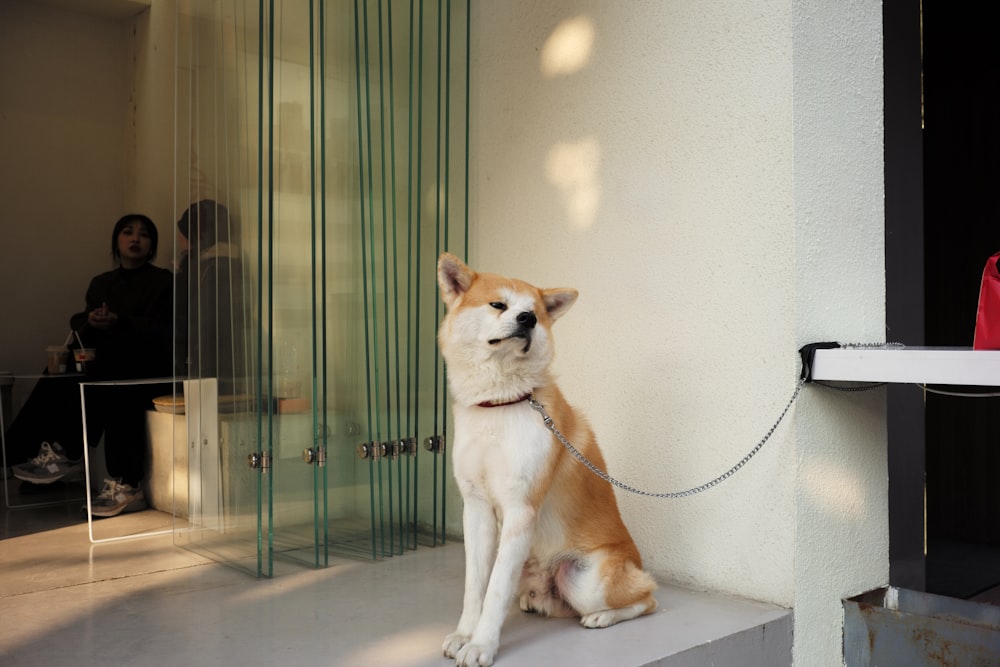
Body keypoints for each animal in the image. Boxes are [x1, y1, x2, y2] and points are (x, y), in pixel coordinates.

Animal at [436, 254, 656, 667]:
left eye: (535, 313)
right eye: (498, 304)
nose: (527, 320)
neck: (499, 404)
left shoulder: (520, 510)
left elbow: (494, 591)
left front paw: (482, 645)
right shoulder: (476, 508)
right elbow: (476, 586)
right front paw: (464, 634)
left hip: (586, 580)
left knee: (648, 598)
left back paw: (603, 616)